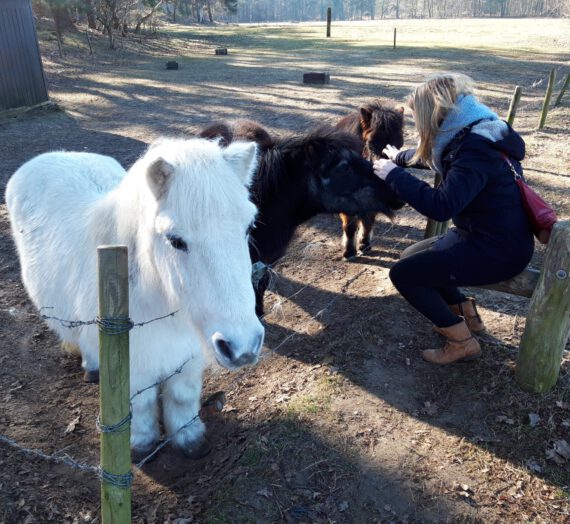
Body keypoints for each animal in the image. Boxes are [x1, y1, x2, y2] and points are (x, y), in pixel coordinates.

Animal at [6, 136, 264, 458]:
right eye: (175, 241)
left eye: (249, 227)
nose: (244, 347)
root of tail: (52, 156)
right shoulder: (134, 366)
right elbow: (140, 406)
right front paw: (141, 443)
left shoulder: (188, 357)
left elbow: (182, 397)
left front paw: (189, 438)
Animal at [332, 99, 404, 258]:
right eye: (370, 143)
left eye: (400, 144)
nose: (397, 199)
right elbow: (350, 225)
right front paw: (349, 250)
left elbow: (368, 221)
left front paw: (364, 243)